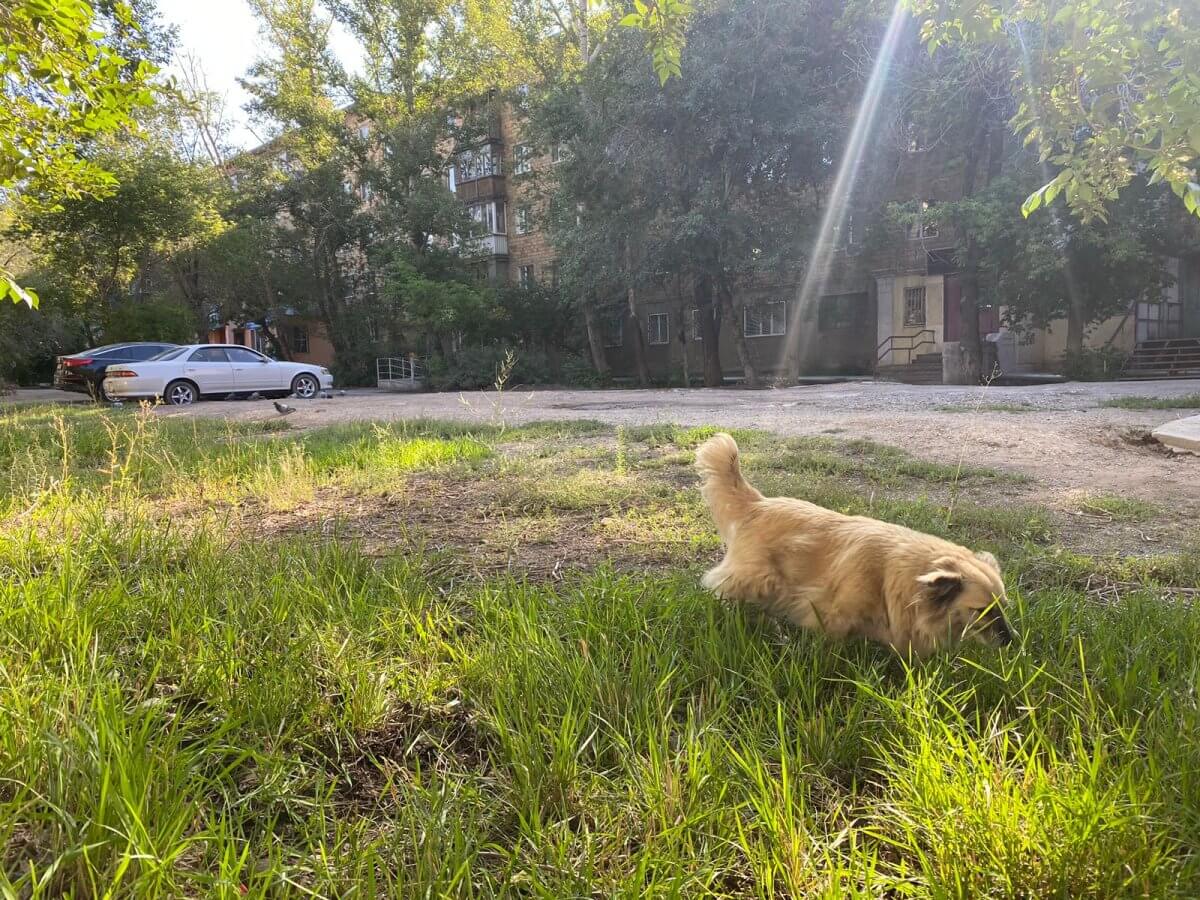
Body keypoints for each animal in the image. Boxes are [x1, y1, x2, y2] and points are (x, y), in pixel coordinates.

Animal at [696, 434, 1012, 657]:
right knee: (721, 586)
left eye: (1003, 606)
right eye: (982, 610)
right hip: (759, 578)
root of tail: (758, 503)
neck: (895, 577)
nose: (1012, 640)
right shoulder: (832, 613)